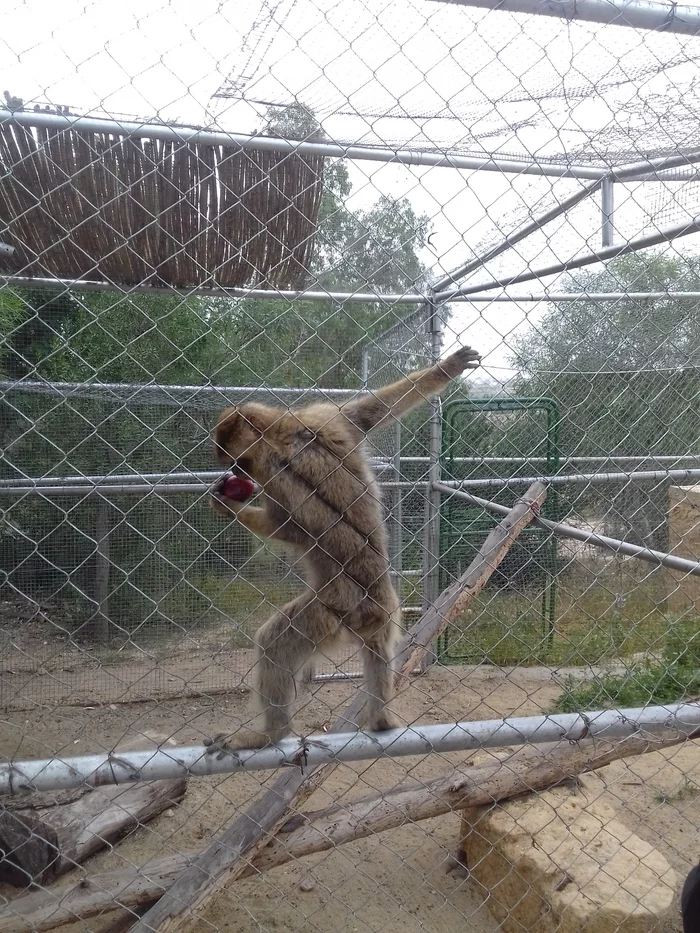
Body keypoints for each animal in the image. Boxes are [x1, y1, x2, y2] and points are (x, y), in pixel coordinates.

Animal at [206, 346, 482, 752]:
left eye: (240, 463)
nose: (238, 475)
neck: (279, 434)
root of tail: (376, 607)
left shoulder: (275, 466)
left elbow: (288, 529)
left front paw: (227, 505)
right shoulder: (321, 419)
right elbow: (370, 414)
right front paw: (446, 369)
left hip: (332, 611)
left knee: (274, 643)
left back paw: (270, 734)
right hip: (374, 617)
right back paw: (379, 721)